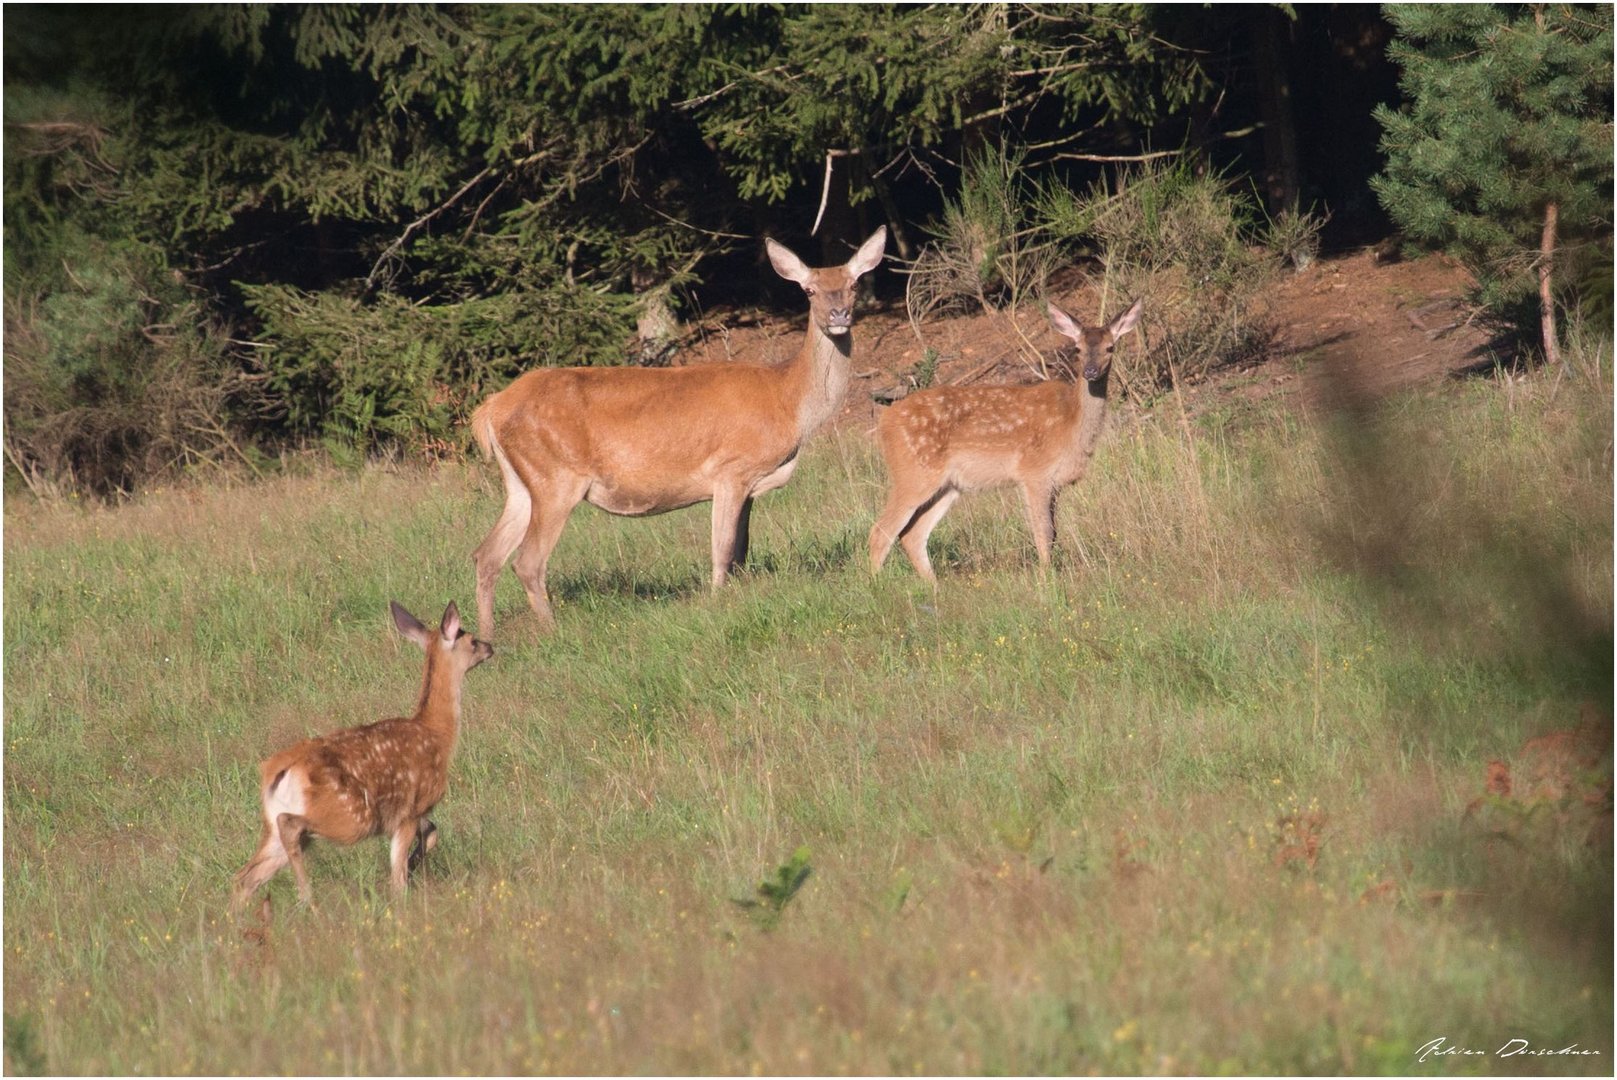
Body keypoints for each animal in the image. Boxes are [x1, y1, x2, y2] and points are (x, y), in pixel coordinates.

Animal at [231, 604, 488, 905]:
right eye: (471, 640)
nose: (490, 647)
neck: (437, 734)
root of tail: (280, 768)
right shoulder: (410, 810)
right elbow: (398, 878)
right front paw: (404, 886)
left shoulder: (409, 815)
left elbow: (432, 833)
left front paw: (414, 865)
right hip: (351, 816)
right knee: (289, 828)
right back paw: (306, 896)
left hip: (272, 825)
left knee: (244, 877)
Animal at [472, 227, 892, 633]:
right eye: (809, 290)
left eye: (854, 284)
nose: (839, 314)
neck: (788, 401)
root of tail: (490, 409)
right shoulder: (731, 469)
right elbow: (722, 550)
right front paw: (717, 603)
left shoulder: (751, 485)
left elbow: (741, 552)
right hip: (557, 476)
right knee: (527, 561)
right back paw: (551, 631)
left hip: (521, 483)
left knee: (486, 554)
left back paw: (486, 636)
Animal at [866, 297, 1144, 582]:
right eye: (1077, 348)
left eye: (1110, 347)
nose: (1090, 371)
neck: (1072, 423)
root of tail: (885, 422)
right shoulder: (1034, 473)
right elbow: (1044, 532)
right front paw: (1046, 579)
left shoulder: (1054, 483)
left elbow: (1054, 532)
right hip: (913, 473)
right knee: (881, 532)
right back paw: (877, 584)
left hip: (947, 485)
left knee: (912, 534)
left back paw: (934, 586)